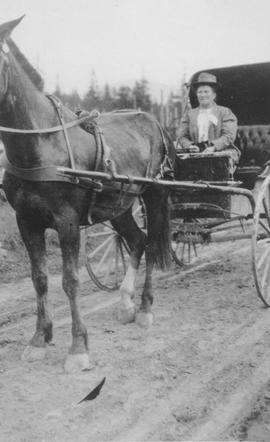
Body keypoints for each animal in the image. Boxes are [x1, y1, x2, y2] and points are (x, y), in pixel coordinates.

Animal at [0, 15, 174, 372]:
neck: (41, 143)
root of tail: (153, 120)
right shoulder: (27, 221)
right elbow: (39, 278)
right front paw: (39, 339)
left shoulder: (67, 222)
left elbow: (70, 281)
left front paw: (78, 347)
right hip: (120, 206)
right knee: (136, 241)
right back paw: (126, 303)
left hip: (153, 194)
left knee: (151, 243)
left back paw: (145, 308)